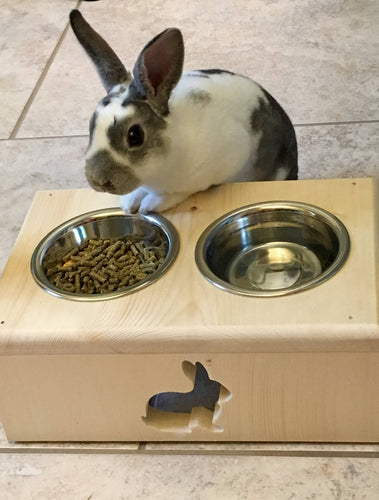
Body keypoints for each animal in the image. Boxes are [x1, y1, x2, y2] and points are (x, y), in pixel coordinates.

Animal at [70, 9, 298, 213]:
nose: (97, 181)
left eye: (134, 135)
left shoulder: (228, 159)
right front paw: (129, 202)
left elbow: (180, 192)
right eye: (91, 125)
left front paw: (150, 205)